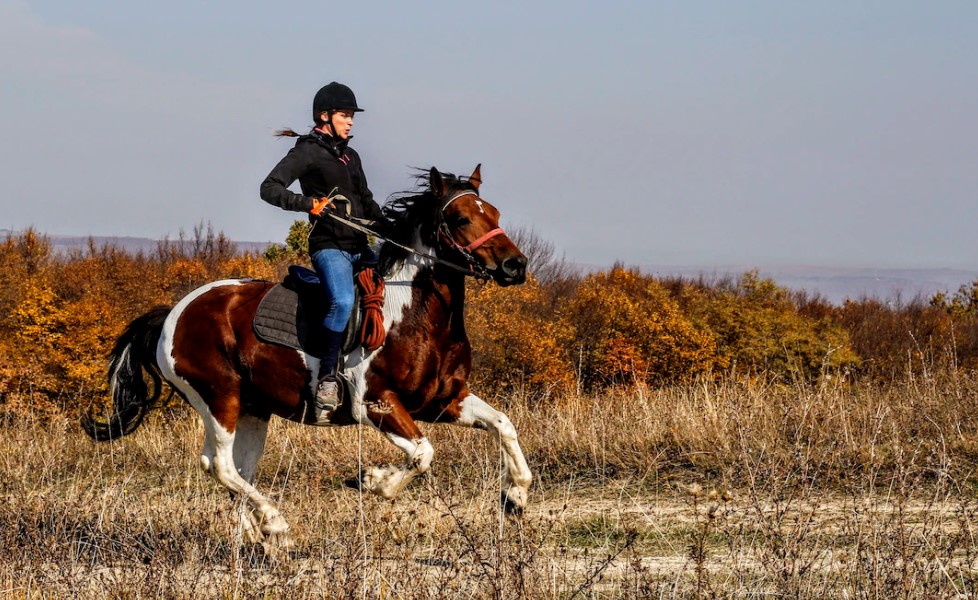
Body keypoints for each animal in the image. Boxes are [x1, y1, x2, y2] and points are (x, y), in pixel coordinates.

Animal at [81, 165, 528, 548]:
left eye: (495, 213)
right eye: (462, 219)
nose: (515, 265)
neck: (414, 312)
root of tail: (173, 313)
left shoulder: (444, 400)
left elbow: (503, 425)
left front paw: (516, 497)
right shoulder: (376, 404)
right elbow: (422, 454)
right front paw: (373, 481)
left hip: (253, 409)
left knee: (236, 469)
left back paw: (256, 535)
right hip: (218, 397)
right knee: (220, 464)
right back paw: (275, 525)